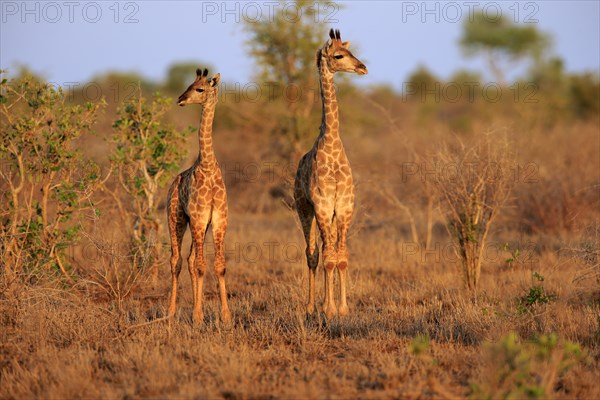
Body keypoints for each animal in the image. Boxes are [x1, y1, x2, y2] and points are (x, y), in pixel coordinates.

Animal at [165, 68, 231, 324]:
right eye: (189, 85)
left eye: (200, 88)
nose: (180, 99)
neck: (208, 166)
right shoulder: (199, 218)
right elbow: (202, 266)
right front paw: (198, 315)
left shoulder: (218, 220)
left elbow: (218, 265)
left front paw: (225, 316)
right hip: (176, 219)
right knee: (176, 260)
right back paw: (171, 311)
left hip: (196, 226)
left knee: (191, 260)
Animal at [294, 28, 368, 318]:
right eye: (338, 56)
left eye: (349, 51)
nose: (362, 67)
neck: (333, 145)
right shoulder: (323, 206)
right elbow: (326, 259)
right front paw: (328, 308)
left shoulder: (344, 207)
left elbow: (341, 258)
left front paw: (343, 308)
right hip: (304, 209)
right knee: (311, 253)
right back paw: (311, 306)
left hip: (330, 215)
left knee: (327, 251)